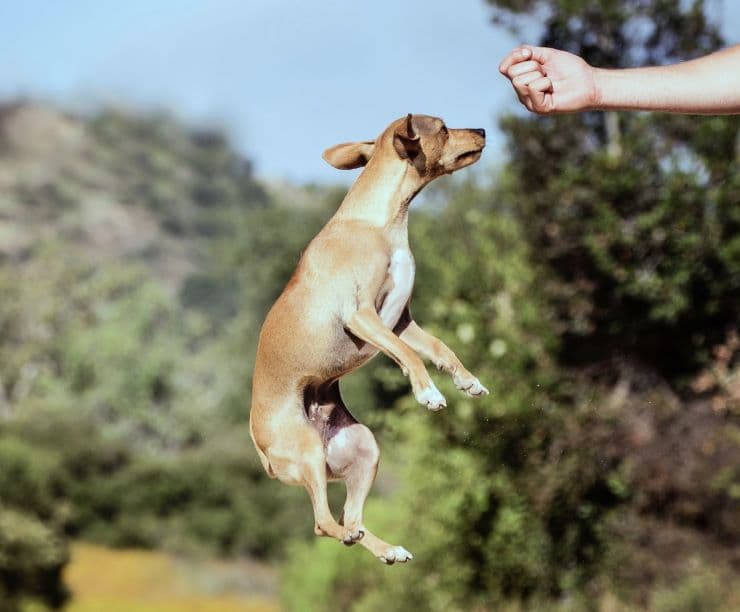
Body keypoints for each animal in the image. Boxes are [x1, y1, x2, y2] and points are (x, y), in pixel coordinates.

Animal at [251, 115, 488, 564]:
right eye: (443, 128)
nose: (483, 131)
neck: (380, 224)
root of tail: (261, 450)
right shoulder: (364, 316)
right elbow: (409, 357)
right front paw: (429, 394)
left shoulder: (401, 322)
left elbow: (439, 348)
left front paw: (467, 381)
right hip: (307, 452)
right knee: (325, 523)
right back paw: (353, 537)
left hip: (363, 450)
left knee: (351, 516)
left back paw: (387, 549)